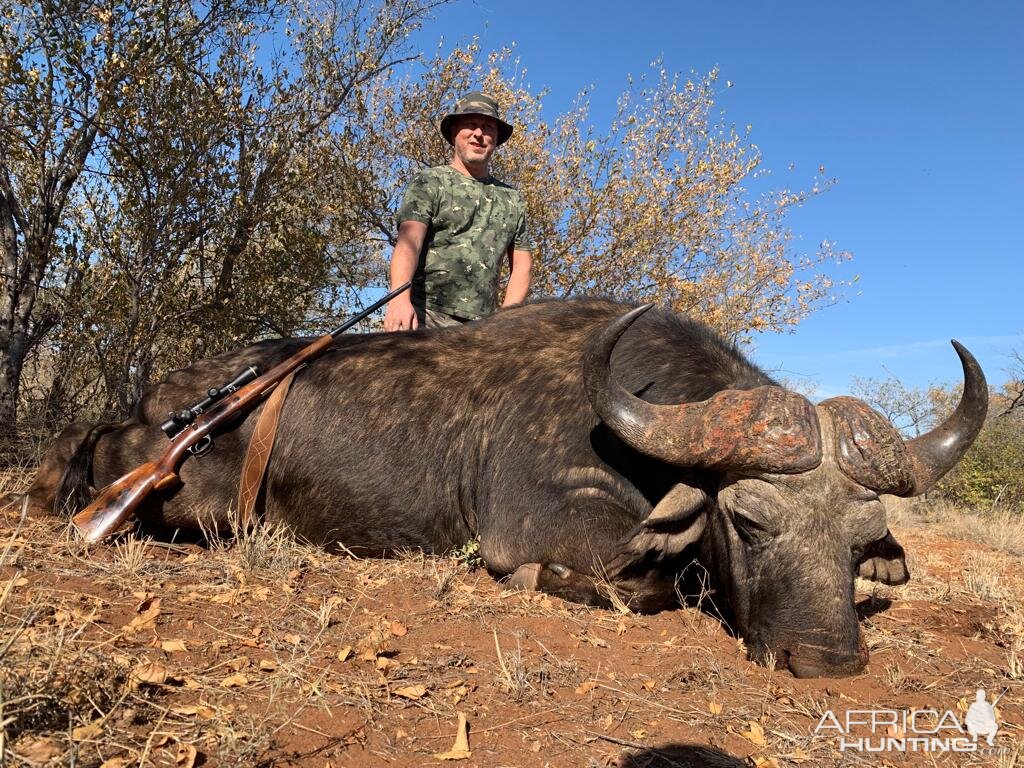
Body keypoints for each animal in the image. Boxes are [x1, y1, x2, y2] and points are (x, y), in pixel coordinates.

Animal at [22, 296, 983, 675]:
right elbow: (644, 583)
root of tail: (162, 397)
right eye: (747, 521)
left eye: (857, 542)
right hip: (189, 495)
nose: (830, 663)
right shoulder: (550, 526)